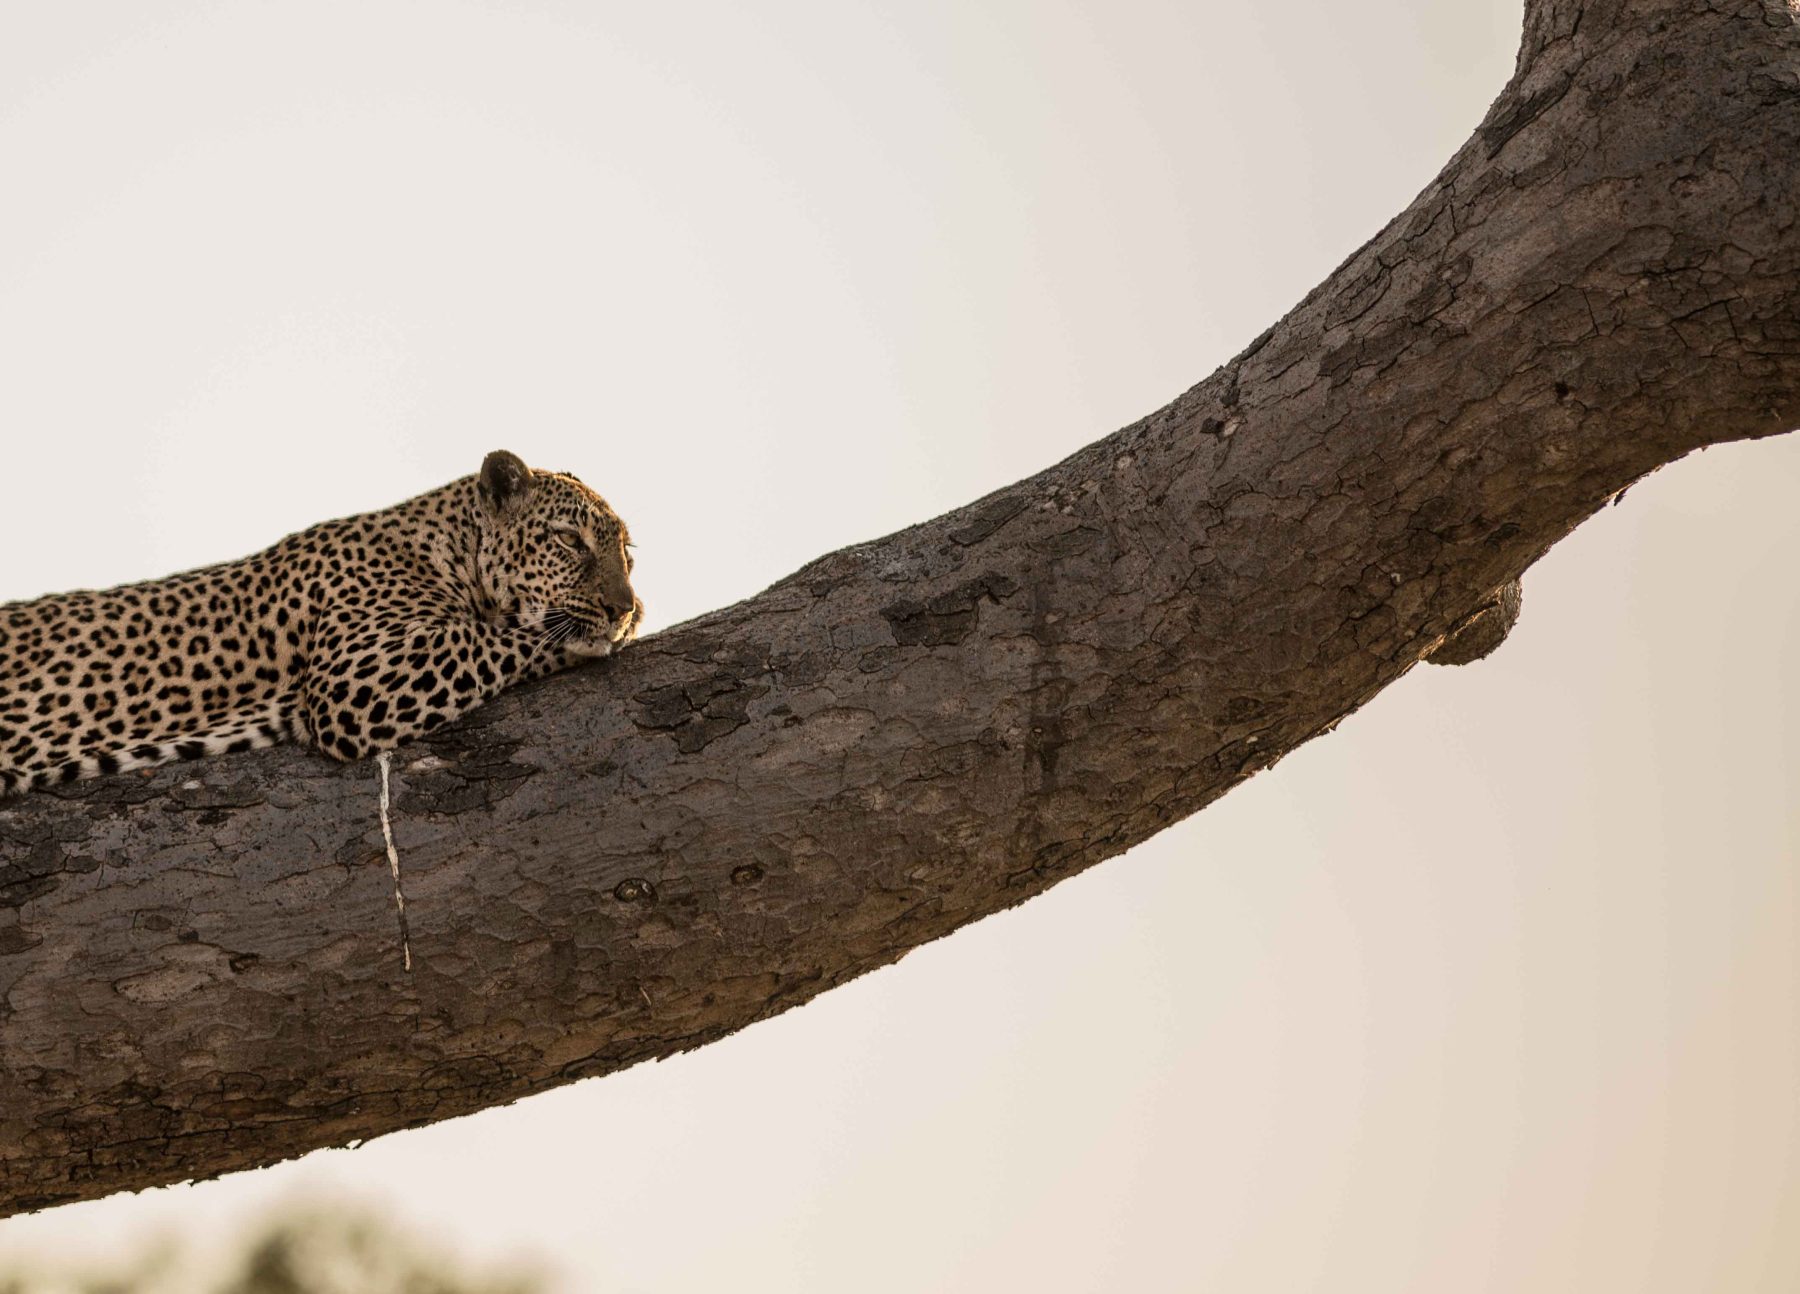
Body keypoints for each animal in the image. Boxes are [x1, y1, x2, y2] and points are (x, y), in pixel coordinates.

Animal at [0, 450, 641, 797]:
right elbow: (498, 637)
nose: (624, 608)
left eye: (627, 552)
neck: (448, 548)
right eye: (569, 540)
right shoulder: (356, 675)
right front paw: (585, 640)